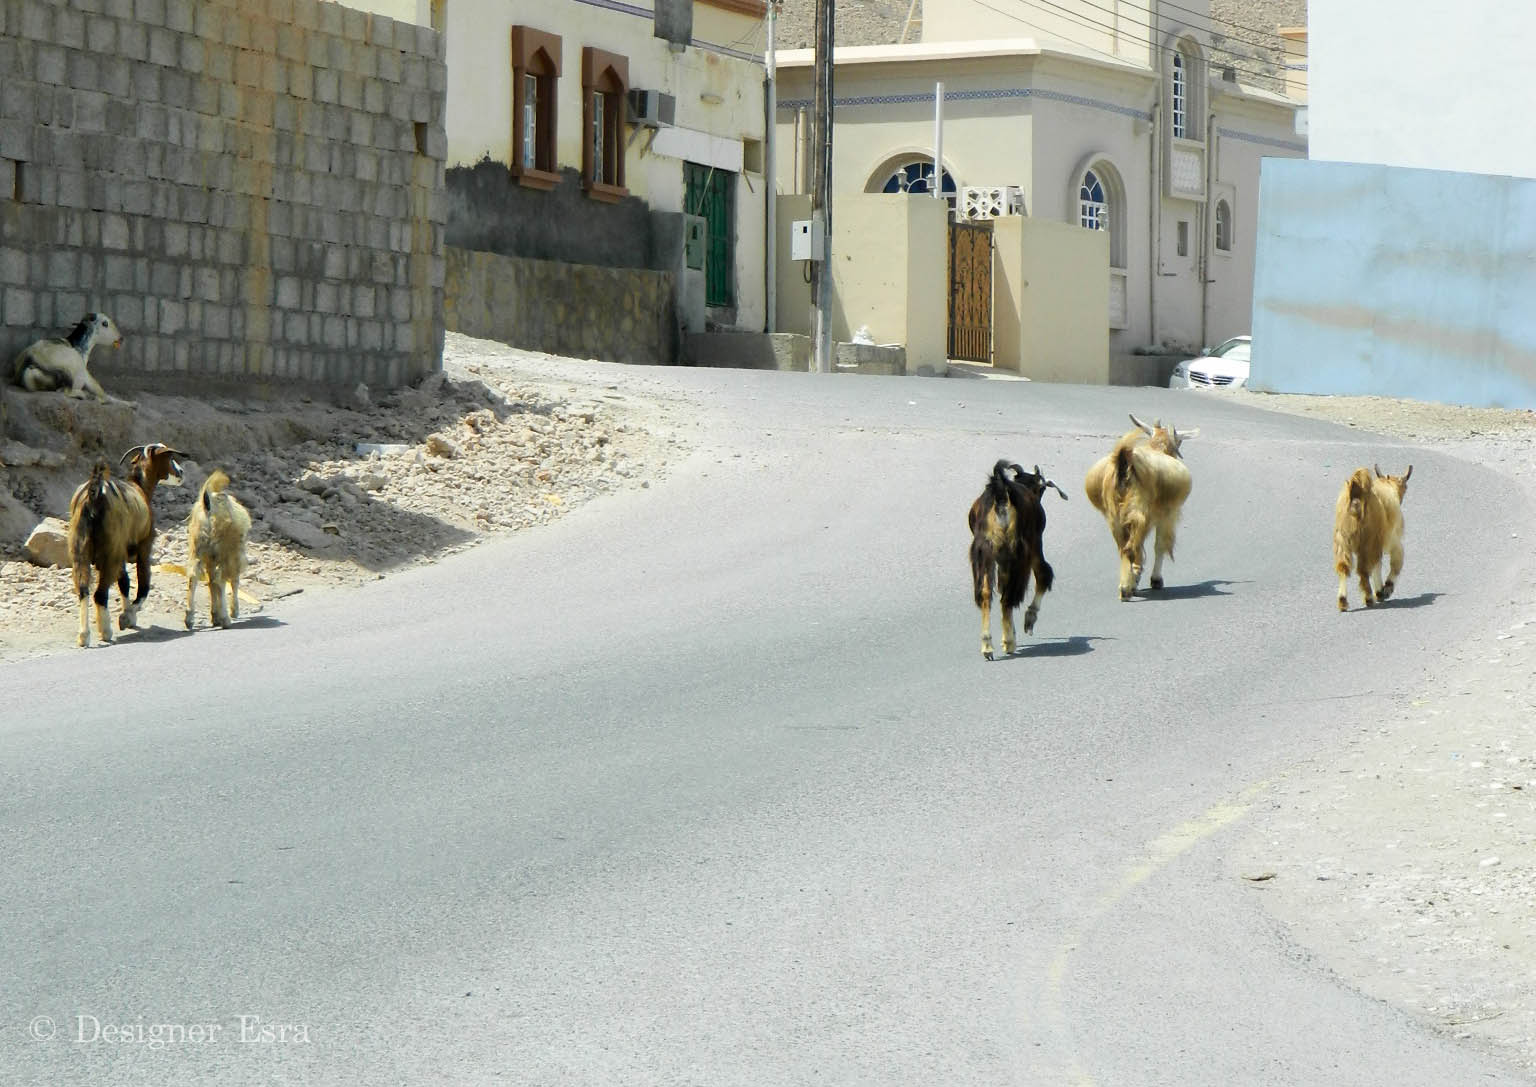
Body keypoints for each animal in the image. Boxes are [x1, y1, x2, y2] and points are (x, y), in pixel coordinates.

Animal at [66, 442, 186, 644]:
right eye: (169, 457)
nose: (181, 472)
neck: (140, 488)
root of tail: (93, 496)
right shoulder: (144, 547)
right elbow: (143, 585)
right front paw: (127, 616)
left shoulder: (120, 552)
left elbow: (124, 581)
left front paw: (126, 613)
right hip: (110, 552)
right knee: (100, 594)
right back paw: (106, 632)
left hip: (80, 549)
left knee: (83, 590)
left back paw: (84, 636)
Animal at [184, 469, 250, 632]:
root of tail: (207, 508)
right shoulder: (233, 555)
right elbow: (232, 581)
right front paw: (233, 611)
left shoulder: (210, 558)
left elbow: (211, 582)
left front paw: (215, 616)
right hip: (227, 552)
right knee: (222, 579)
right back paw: (226, 619)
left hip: (197, 548)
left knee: (194, 576)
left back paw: (189, 618)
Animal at [970, 457, 1069, 657]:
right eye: (1042, 488)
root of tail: (1001, 491)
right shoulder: (1034, 544)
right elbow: (1043, 575)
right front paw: (1029, 620)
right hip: (1018, 551)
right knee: (1009, 595)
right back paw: (1009, 642)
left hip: (985, 552)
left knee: (986, 593)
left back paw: (987, 645)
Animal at [1081, 417, 1198, 601]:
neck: (1157, 447)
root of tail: (1124, 460)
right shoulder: (1165, 514)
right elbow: (1159, 545)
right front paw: (1154, 579)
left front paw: (1136, 575)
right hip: (1139, 510)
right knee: (1131, 547)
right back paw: (1126, 588)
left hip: (1115, 515)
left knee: (1124, 547)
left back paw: (1125, 585)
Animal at [1327, 460, 1406, 611]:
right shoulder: (1392, 540)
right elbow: (1393, 563)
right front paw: (1384, 590)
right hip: (1367, 541)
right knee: (1364, 570)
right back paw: (1369, 597)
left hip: (1342, 540)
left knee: (1343, 567)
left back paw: (1343, 601)